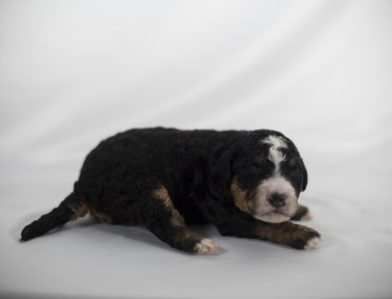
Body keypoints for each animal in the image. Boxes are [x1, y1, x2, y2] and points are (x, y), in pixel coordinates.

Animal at [20, 127, 322, 254]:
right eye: (252, 169)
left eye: (294, 171)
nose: (278, 197)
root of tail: (82, 180)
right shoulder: (228, 215)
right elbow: (267, 224)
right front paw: (304, 235)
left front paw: (300, 210)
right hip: (144, 184)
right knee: (164, 223)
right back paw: (198, 244)